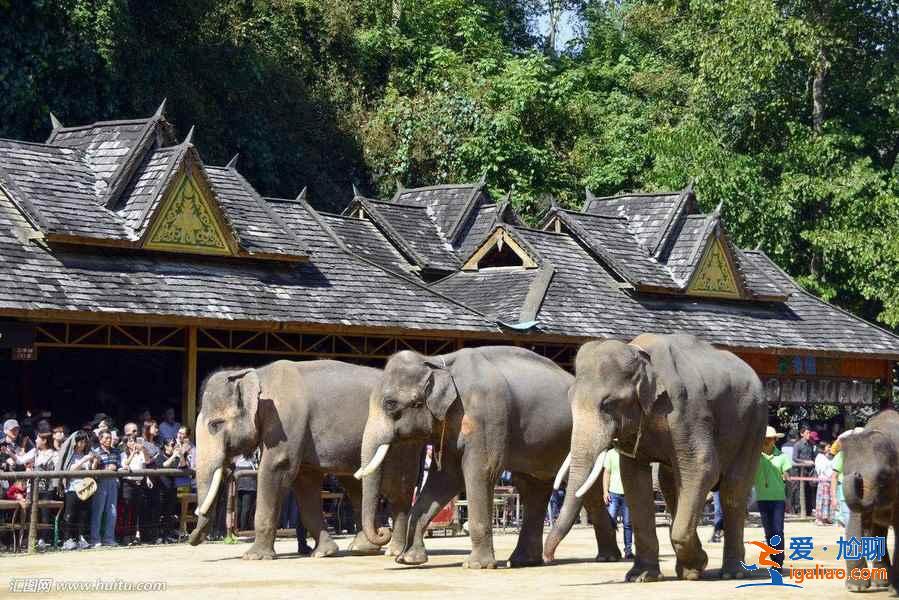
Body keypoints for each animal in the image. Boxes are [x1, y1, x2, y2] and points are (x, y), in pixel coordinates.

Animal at [189, 358, 418, 560]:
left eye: (215, 425)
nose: (191, 538)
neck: (258, 375)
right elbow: (305, 482)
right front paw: (324, 553)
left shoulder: (285, 422)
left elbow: (276, 469)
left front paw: (253, 557)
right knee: (355, 485)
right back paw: (362, 548)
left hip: (402, 439)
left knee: (398, 488)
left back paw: (393, 550)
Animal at [356, 344, 624, 568]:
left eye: (390, 404)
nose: (383, 531)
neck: (437, 361)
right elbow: (445, 478)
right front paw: (410, 560)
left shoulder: (485, 414)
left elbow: (479, 472)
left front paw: (476, 566)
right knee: (534, 488)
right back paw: (526, 561)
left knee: (580, 492)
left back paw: (605, 558)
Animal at [540, 332, 768, 580]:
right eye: (570, 398)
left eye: (607, 404)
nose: (548, 558)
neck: (641, 355)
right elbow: (633, 477)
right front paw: (640, 576)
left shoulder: (686, 408)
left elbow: (702, 466)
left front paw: (698, 564)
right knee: (671, 482)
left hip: (754, 422)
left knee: (733, 487)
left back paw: (731, 573)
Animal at [844, 408, 899, 596]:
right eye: (843, 471)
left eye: (884, 477)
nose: (856, 475)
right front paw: (855, 588)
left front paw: (894, 592)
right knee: (878, 531)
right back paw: (881, 583)